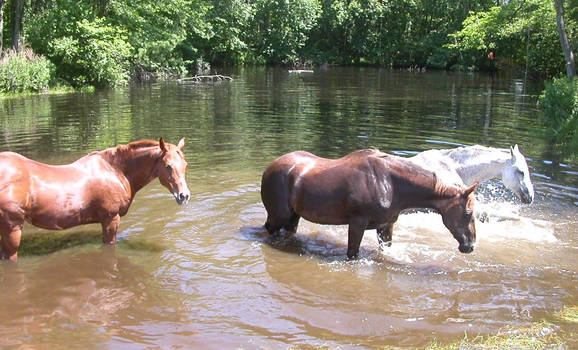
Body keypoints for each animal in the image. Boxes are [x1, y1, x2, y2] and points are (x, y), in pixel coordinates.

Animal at [0, 137, 190, 260]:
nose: (184, 195)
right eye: (168, 166)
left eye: (185, 165)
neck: (116, 171)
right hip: (12, 229)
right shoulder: (110, 219)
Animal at [260, 149, 476, 258]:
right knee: (269, 231)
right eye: (468, 213)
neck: (392, 184)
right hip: (279, 215)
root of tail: (270, 167)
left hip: (293, 216)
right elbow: (352, 253)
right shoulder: (357, 223)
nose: (470, 245)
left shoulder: (386, 226)